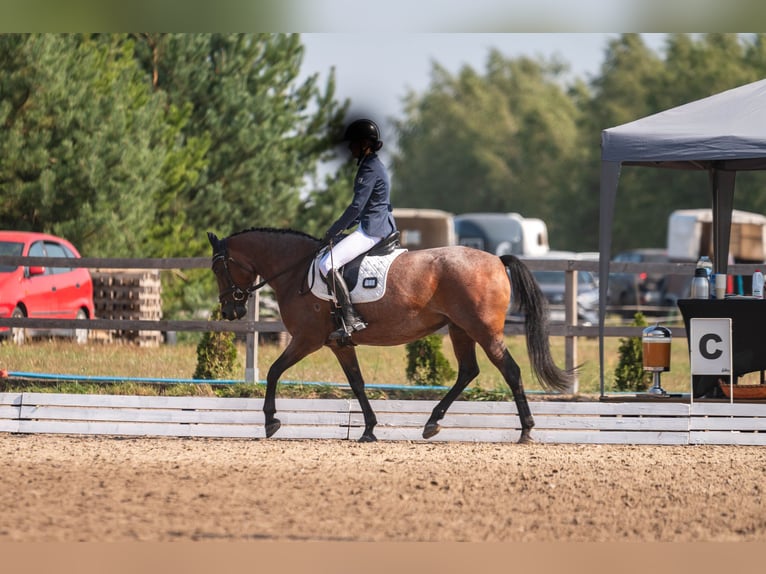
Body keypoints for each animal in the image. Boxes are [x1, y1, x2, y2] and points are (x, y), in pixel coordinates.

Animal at [207, 230, 572, 446]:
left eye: (218, 268)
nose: (230, 310)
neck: (296, 270)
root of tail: (496, 259)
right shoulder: (339, 344)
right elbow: (357, 383)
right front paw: (369, 429)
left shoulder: (306, 339)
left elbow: (272, 372)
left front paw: (271, 421)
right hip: (460, 329)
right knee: (469, 371)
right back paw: (432, 423)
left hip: (483, 330)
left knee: (510, 371)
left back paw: (526, 430)